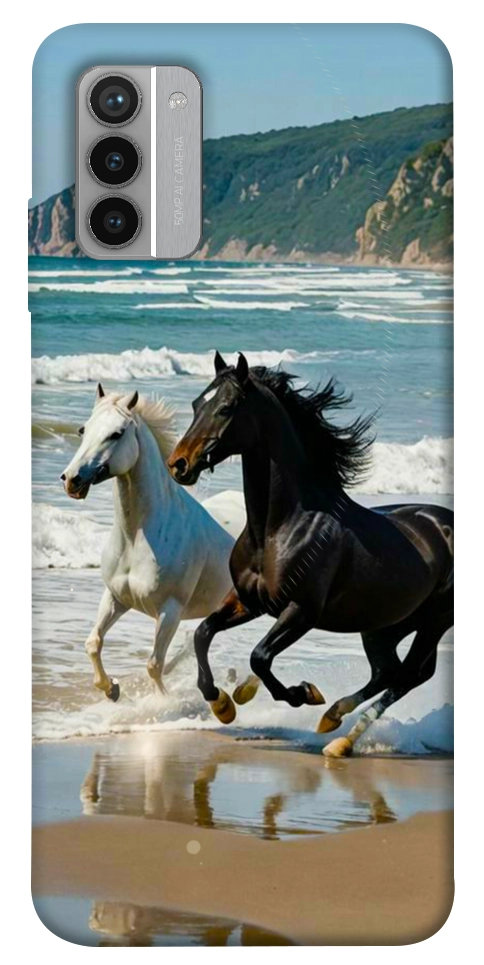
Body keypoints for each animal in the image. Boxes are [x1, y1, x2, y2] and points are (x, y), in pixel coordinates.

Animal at [61, 383, 234, 701]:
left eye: (116, 433)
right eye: (83, 430)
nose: (71, 480)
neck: (137, 538)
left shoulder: (170, 611)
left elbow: (154, 664)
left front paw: (162, 703)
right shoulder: (116, 597)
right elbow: (93, 643)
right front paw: (111, 689)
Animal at [167, 352, 453, 756]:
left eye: (225, 408)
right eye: (196, 405)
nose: (179, 464)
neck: (279, 528)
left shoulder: (301, 611)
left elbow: (260, 656)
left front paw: (302, 693)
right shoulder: (248, 601)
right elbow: (203, 634)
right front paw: (222, 703)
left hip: (434, 622)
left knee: (409, 675)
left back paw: (340, 738)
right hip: (384, 625)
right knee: (389, 671)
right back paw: (333, 720)